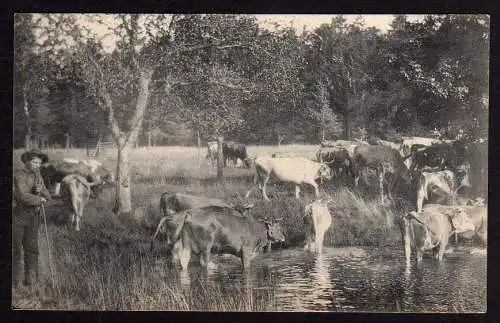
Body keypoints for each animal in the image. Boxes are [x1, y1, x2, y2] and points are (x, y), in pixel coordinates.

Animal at [154, 206, 286, 272]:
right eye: (279, 227)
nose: (283, 238)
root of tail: (188, 214)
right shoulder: (246, 250)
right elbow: (246, 266)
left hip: (186, 243)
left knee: (184, 259)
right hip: (206, 246)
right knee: (203, 262)